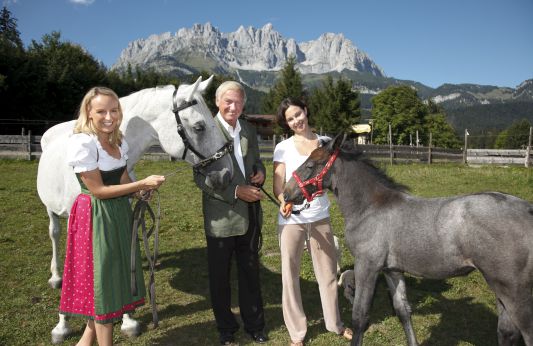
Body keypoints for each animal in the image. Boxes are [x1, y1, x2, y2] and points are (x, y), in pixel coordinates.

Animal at [38, 75, 234, 344]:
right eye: (199, 127)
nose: (226, 175)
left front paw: (128, 320)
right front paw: (62, 324)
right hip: (52, 211)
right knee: (54, 234)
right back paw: (55, 277)